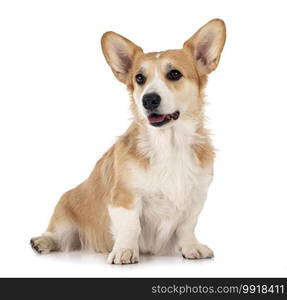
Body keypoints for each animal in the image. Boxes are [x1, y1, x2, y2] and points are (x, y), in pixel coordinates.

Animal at [29, 18, 227, 264]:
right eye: (139, 78)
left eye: (174, 74)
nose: (149, 100)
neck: (169, 144)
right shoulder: (125, 197)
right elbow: (131, 226)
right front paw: (124, 250)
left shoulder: (195, 198)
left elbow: (186, 227)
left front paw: (191, 247)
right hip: (65, 211)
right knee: (57, 234)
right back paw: (42, 241)